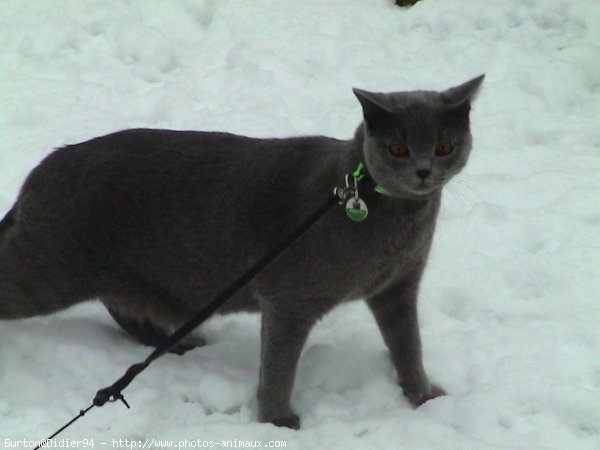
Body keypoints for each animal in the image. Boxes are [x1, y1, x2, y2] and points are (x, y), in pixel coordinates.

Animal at [0, 74, 486, 428]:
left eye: (444, 145)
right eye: (398, 148)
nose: (423, 170)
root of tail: (45, 165)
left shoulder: (398, 289)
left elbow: (409, 345)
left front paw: (423, 396)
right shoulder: (289, 298)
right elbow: (279, 366)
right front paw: (278, 421)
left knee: (125, 309)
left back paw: (182, 343)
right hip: (48, 268)